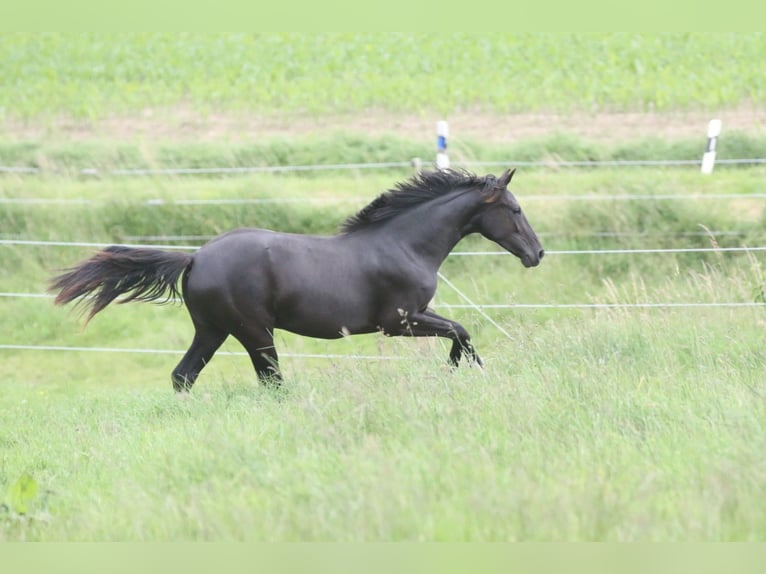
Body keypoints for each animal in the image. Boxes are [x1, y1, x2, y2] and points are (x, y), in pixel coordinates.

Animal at [51, 166, 544, 392]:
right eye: (515, 209)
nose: (537, 254)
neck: (403, 244)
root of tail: (195, 258)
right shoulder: (400, 320)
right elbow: (461, 331)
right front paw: (461, 371)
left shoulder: (414, 316)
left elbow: (461, 332)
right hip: (253, 331)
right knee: (270, 381)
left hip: (213, 330)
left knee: (183, 376)